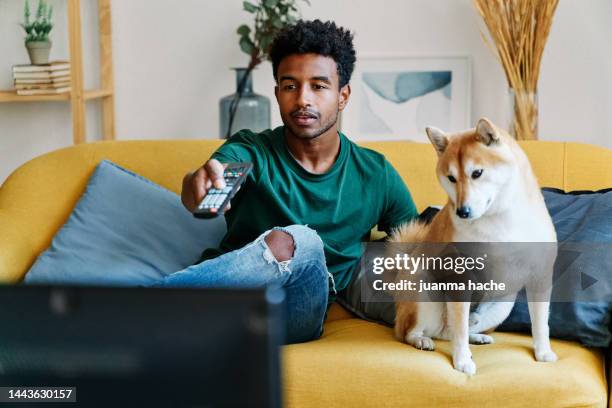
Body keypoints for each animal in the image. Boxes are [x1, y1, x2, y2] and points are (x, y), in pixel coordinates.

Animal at [392, 118, 560, 376]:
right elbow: (459, 330)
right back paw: (421, 340)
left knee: (452, 332)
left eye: (477, 173)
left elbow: (541, 323)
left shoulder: (540, 275)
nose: (462, 211)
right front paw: (462, 362)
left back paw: (477, 337)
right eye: (451, 178)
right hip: (423, 292)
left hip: (503, 305)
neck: (499, 220)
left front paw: (543, 352)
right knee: (411, 332)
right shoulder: (460, 278)